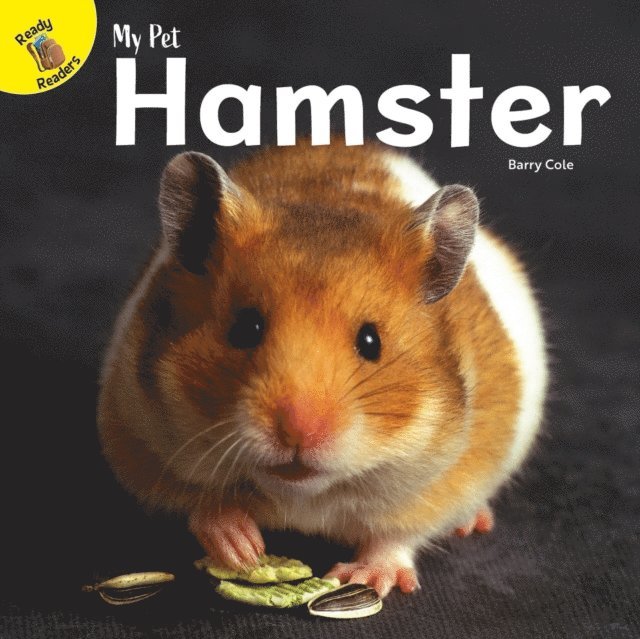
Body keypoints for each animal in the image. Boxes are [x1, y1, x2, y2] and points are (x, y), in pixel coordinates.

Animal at [98, 140, 547, 597]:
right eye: (245, 328)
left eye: (371, 341)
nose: (298, 431)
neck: (303, 493)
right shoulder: (138, 436)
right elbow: (200, 503)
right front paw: (242, 550)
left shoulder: (447, 478)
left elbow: (396, 536)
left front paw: (363, 578)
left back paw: (473, 522)